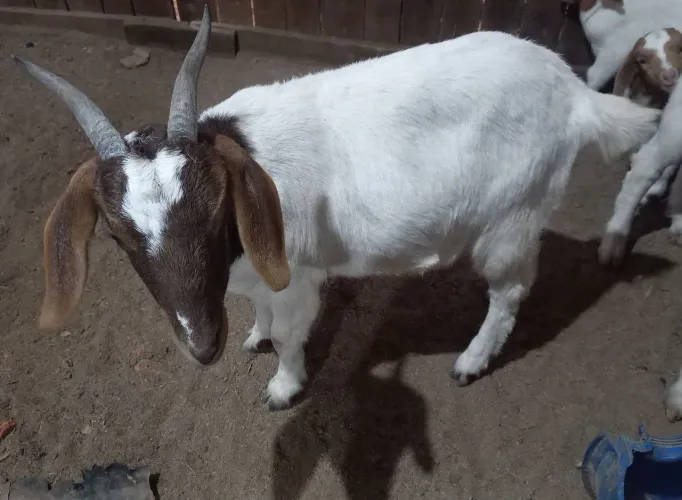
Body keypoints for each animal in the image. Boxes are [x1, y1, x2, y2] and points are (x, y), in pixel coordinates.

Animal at [15, 7, 661, 410]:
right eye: (118, 235)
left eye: (217, 205)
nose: (203, 346)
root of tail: (574, 93)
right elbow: (264, 316)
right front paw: (254, 336)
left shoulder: (299, 275)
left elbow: (292, 335)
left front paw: (282, 387)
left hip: (513, 217)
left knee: (510, 293)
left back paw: (472, 361)